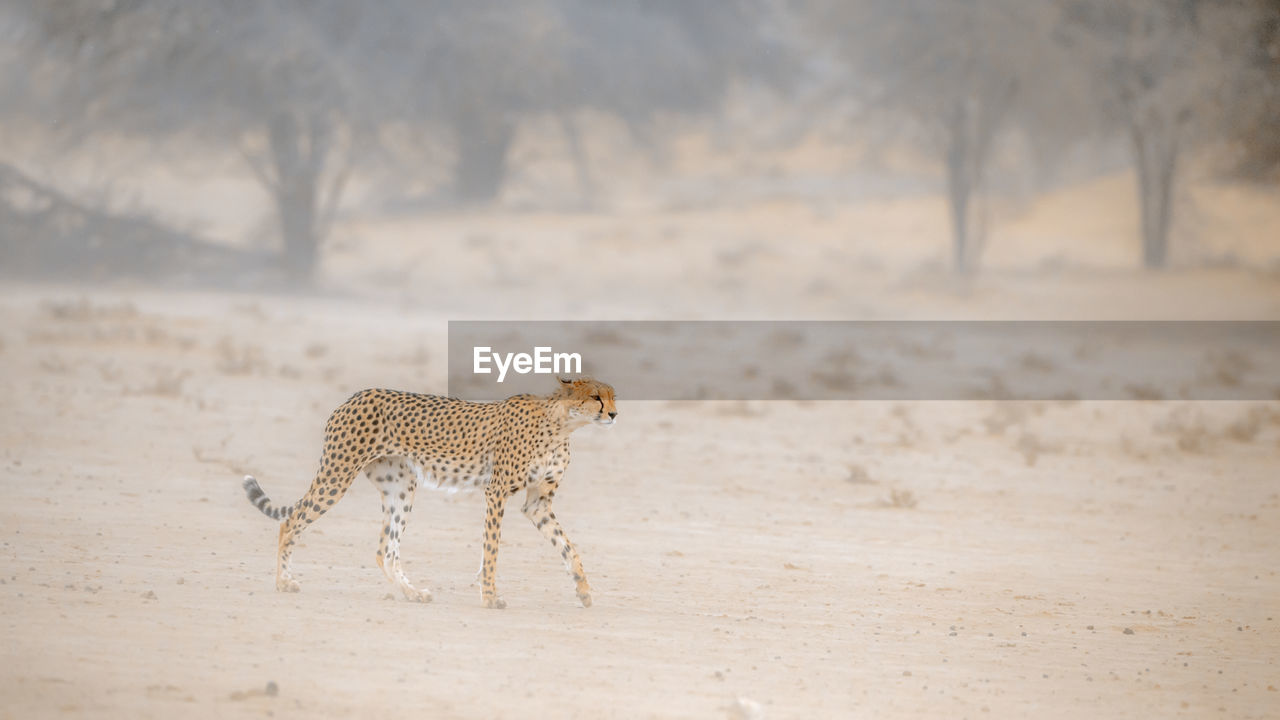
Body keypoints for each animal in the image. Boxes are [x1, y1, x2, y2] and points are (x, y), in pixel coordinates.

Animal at [244, 376, 619, 604]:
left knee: (385, 550)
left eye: (612, 396)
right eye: (595, 397)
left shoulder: (537, 502)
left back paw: (411, 593)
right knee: (290, 521)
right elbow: (492, 550)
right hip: (338, 474)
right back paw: (283, 582)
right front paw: (489, 596)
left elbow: (567, 546)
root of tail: (356, 396)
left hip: (401, 486)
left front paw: (583, 590)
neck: (563, 424)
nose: (615, 414)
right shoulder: (497, 491)